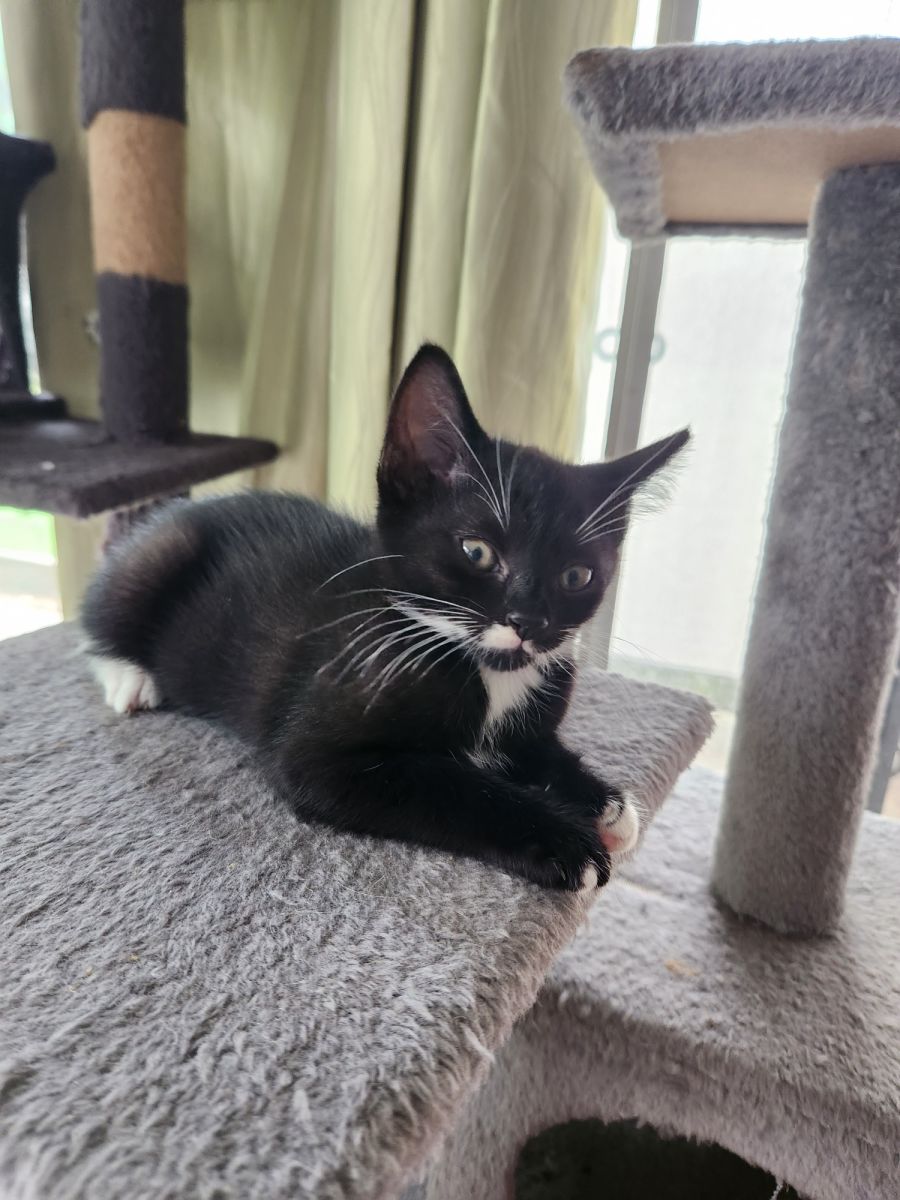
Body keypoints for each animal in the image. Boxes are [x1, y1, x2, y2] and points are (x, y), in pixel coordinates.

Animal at [82, 344, 688, 891]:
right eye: (477, 552)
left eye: (576, 576)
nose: (529, 621)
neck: (483, 668)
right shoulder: (319, 752)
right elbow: (452, 786)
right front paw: (564, 839)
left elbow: (534, 750)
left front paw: (604, 803)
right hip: (162, 551)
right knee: (98, 621)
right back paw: (131, 676)